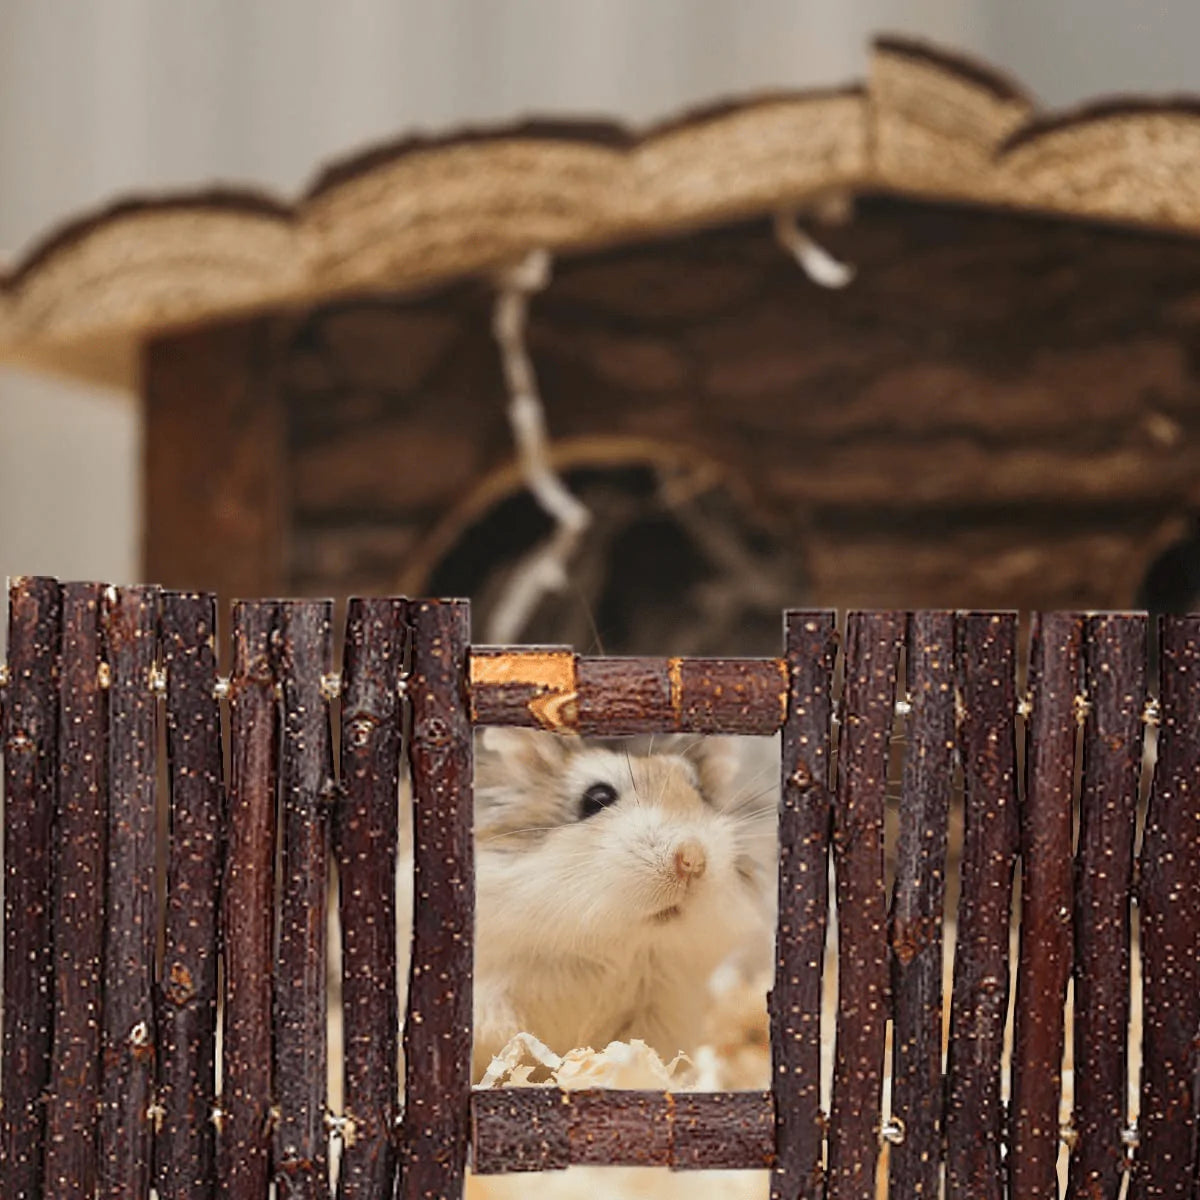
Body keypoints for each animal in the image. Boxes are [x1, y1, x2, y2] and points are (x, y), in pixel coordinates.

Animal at [470, 728, 775, 1080]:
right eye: (597, 798)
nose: (692, 860)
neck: (614, 943)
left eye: (701, 794)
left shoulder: (660, 1013)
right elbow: (505, 1030)